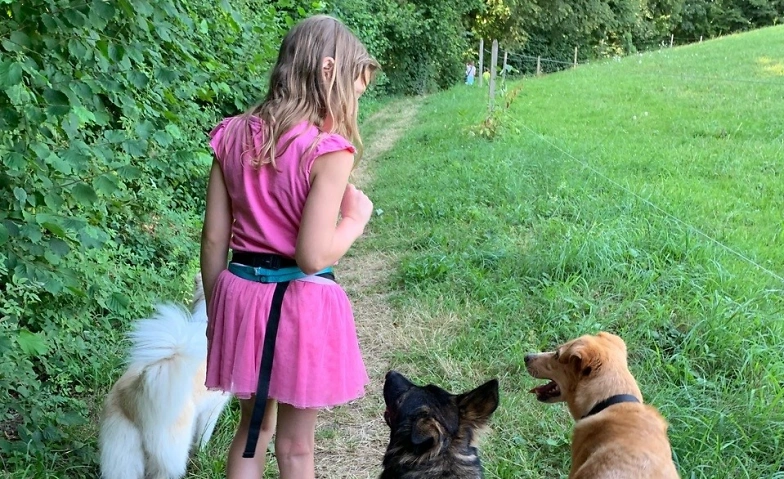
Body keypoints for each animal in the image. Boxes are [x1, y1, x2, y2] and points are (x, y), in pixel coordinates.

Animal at [99, 274, 230, 479]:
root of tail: (137, 390)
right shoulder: (212, 409)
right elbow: (203, 436)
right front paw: (202, 453)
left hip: (122, 455)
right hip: (168, 457)